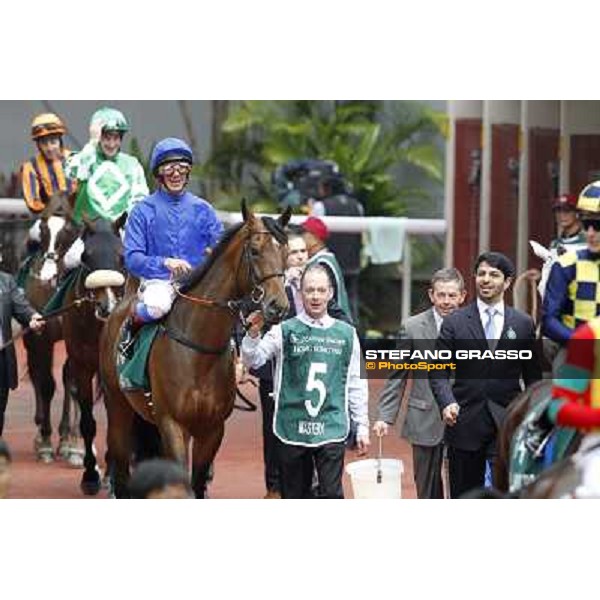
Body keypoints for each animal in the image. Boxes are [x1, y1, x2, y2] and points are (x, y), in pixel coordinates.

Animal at [99, 202, 290, 496]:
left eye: (286, 252)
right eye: (255, 251)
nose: (278, 305)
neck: (199, 352)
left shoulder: (212, 429)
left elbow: (197, 484)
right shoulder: (172, 424)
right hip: (118, 407)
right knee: (120, 472)